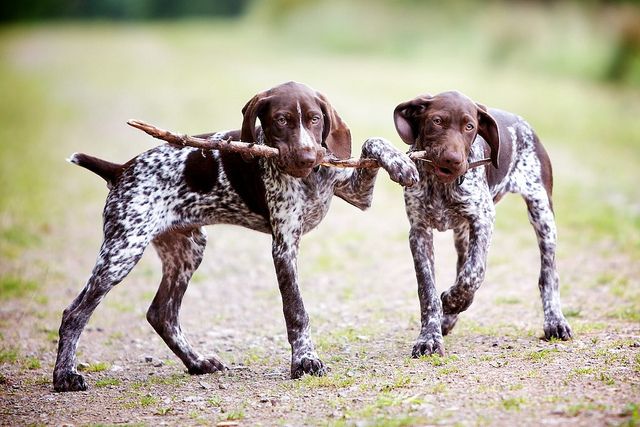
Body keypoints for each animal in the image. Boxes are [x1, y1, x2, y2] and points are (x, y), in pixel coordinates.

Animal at [52, 82, 418, 392]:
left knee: (161, 314)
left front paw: (400, 163)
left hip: (187, 249)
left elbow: (372, 142)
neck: (308, 178)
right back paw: (65, 376)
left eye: (315, 119)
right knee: (75, 313)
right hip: (123, 250)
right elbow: (296, 310)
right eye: (281, 120)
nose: (307, 156)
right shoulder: (284, 245)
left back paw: (197, 362)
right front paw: (305, 361)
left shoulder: (356, 193)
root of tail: (121, 169)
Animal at [392, 91, 572, 358]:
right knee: (461, 264)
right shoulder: (419, 232)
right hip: (462, 233)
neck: (441, 185)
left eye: (470, 127)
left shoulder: (483, 219)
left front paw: (453, 300)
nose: (453, 160)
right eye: (437, 121)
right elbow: (428, 290)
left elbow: (473, 273)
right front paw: (430, 336)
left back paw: (555, 321)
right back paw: (449, 317)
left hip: (542, 213)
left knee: (549, 274)